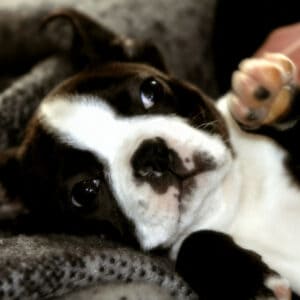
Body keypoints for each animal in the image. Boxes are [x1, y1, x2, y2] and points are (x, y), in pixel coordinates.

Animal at [0, 8, 300, 298]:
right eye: (84, 192)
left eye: (151, 90)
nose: (152, 155)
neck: (227, 202)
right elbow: (192, 241)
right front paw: (252, 283)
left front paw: (270, 99)